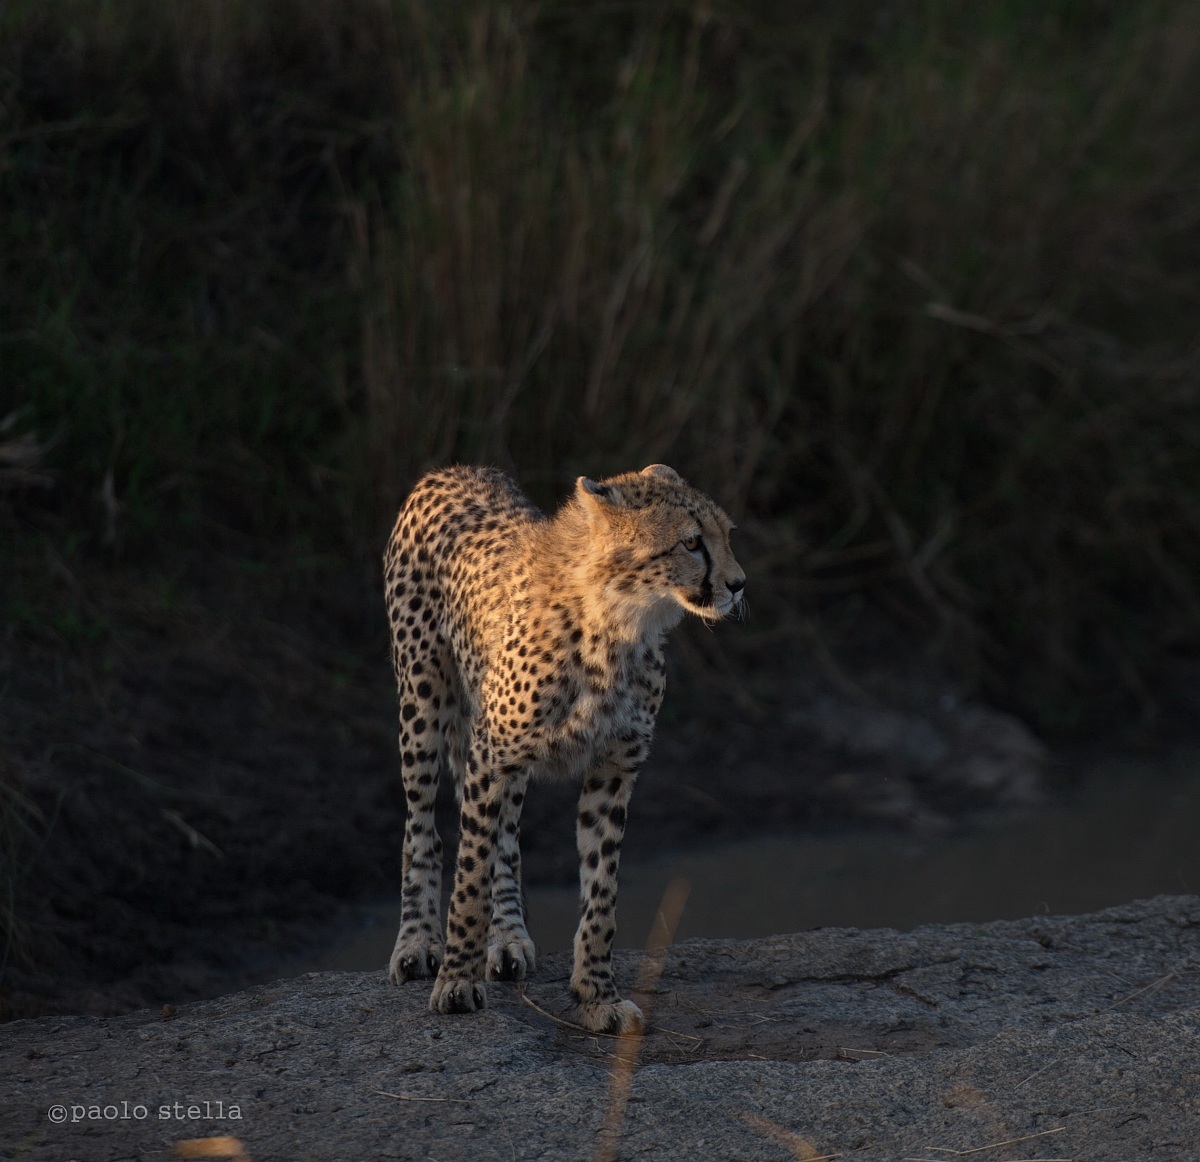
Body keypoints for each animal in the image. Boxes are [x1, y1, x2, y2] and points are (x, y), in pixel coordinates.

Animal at [383, 463, 745, 1033]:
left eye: (726, 535)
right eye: (691, 542)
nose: (738, 584)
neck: (618, 623)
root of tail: (456, 469)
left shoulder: (613, 768)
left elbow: (601, 893)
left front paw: (597, 996)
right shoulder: (490, 751)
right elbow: (469, 877)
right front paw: (458, 981)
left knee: (506, 838)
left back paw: (508, 937)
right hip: (423, 702)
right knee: (423, 828)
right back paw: (418, 942)